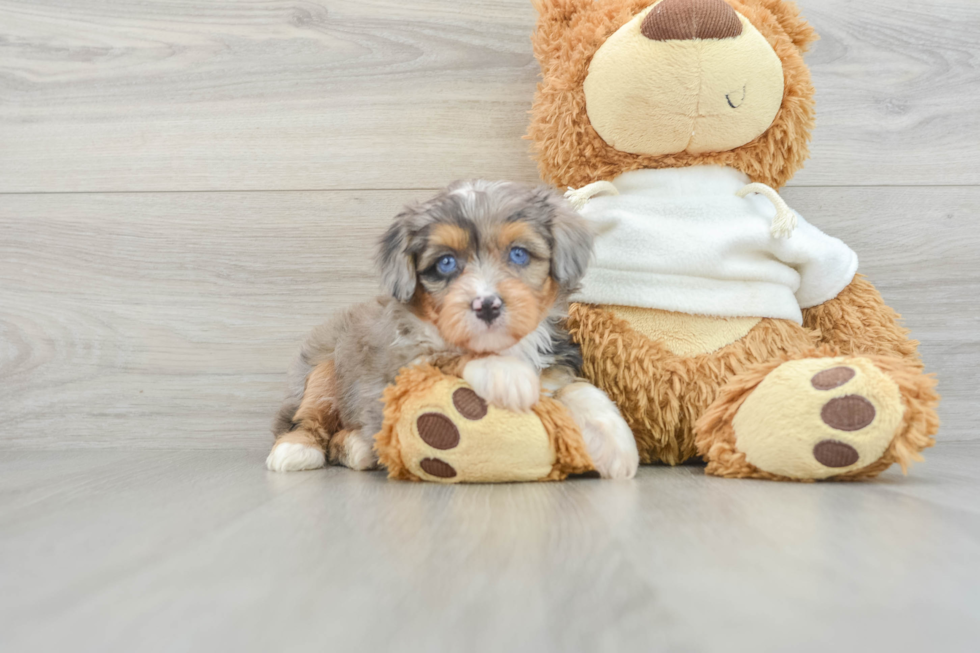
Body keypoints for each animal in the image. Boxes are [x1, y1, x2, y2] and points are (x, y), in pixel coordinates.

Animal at [264, 181, 640, 476]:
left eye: (518, 254)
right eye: (446, 263)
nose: (487, 305)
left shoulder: (555, 364)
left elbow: (577, 389)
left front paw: (614, 441)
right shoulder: (404, 367)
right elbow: (448, 355)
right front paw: (506, 373)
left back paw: (358, 445)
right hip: (321, 371)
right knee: (306, 418)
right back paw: (297, 450)